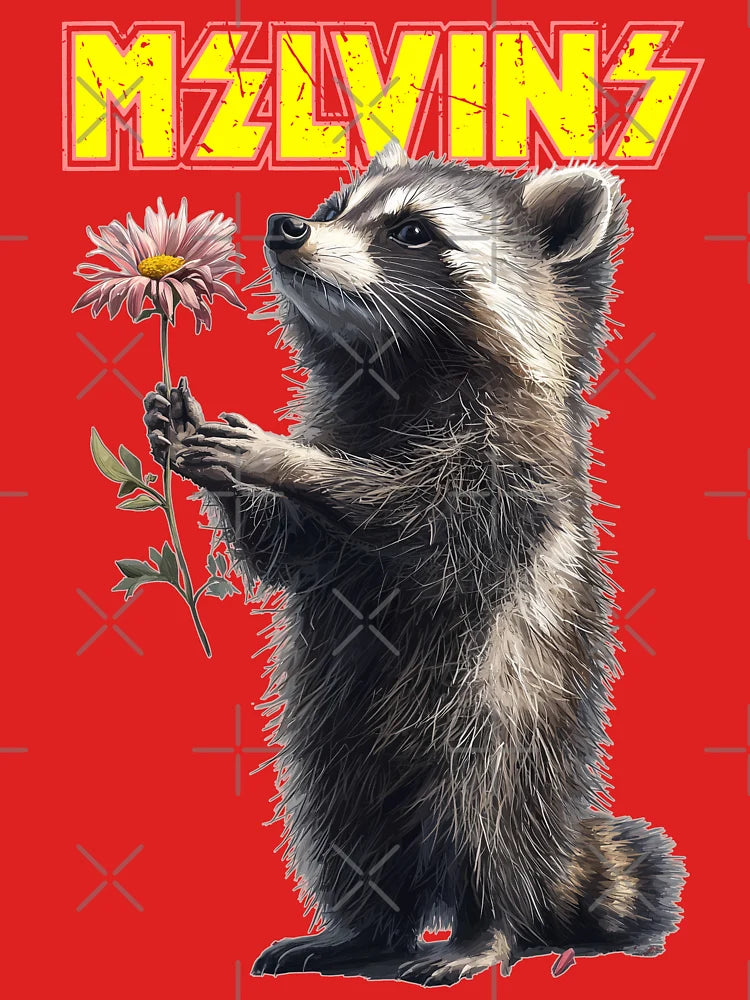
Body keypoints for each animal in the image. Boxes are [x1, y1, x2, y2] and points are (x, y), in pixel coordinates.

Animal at [144, 141, 685, 984]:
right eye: (335, 208)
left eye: (411, 231)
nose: (288, 225)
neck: (394, 366)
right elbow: (293, 553)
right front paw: (203, 454)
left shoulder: (518, 465)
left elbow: (431, 523)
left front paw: (291, 462)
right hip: (330, 739)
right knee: (345, 827)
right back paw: (366, 930)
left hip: (506, 710)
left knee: (485, 819)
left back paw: (483, 929)